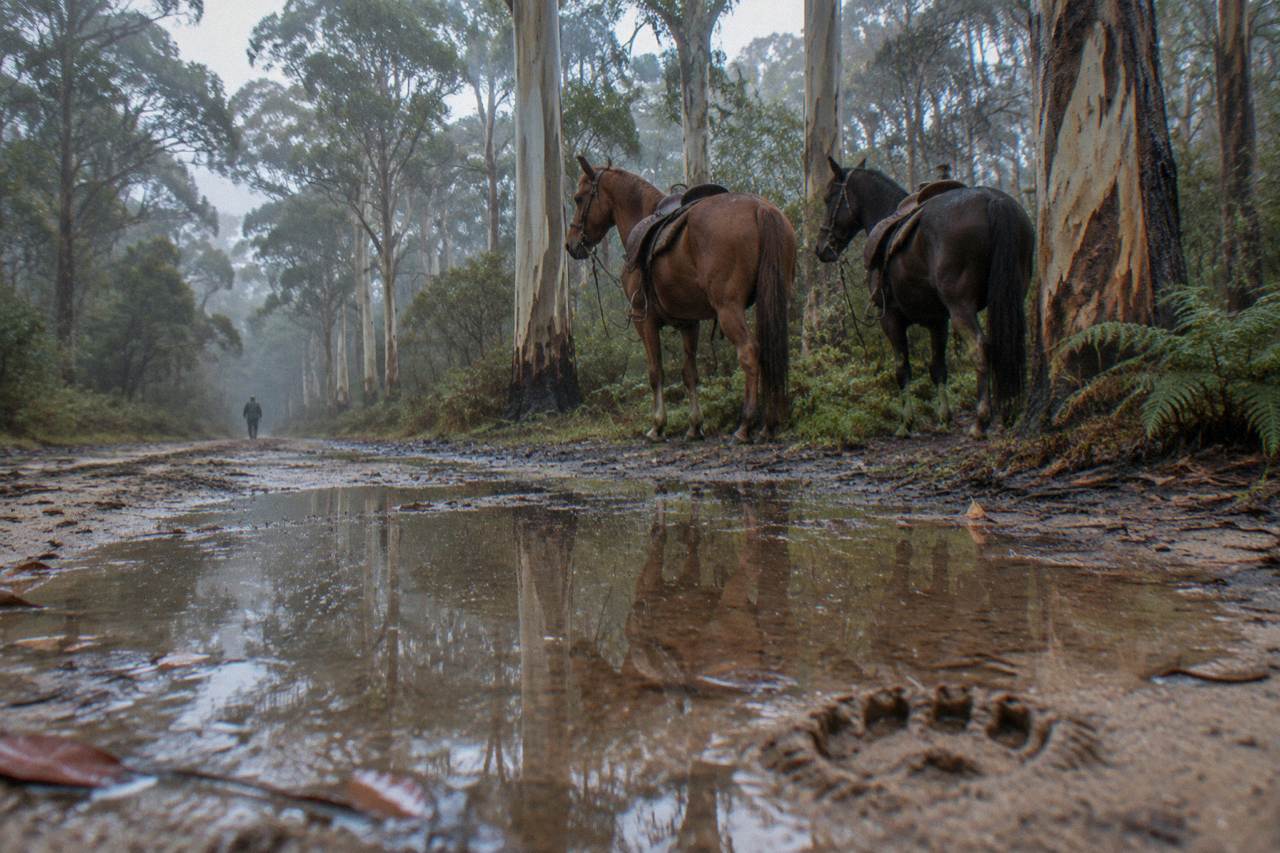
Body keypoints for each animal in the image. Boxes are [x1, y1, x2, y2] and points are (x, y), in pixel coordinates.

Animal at [566, 157, 796, 443]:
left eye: (578, 198)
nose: (571, 244)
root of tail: (760, 207)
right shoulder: (689, 322)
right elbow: (690, 374)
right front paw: (695, 426)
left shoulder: (644, 319)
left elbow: (656, 372)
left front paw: (657, 425)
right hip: (775, 301)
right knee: (770, 350)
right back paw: (769, 424)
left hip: (729, 309)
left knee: (750, 352)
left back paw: (745, 425)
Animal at [815, 157, 1034, 437]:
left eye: (829, 197)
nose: (821, 248)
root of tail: (993, 200)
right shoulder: (937, 320)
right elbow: (938, 368)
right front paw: (944, 418)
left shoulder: (891, 318)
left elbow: (902, 369)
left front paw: (906, 423)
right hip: (1012, 296)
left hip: (961, 307)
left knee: (980, 348)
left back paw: (980, 420)